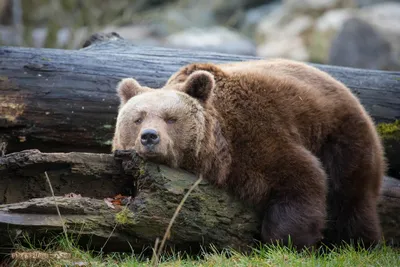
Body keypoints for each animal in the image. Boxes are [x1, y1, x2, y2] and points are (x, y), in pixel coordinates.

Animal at [111, 58, 386, 251]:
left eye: (170, 118)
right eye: (138, 118)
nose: (149, 137)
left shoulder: (257, 134)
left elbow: (300, 178)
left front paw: (286, 241)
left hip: (339, 135)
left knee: (350, 195)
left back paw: (359, 243)